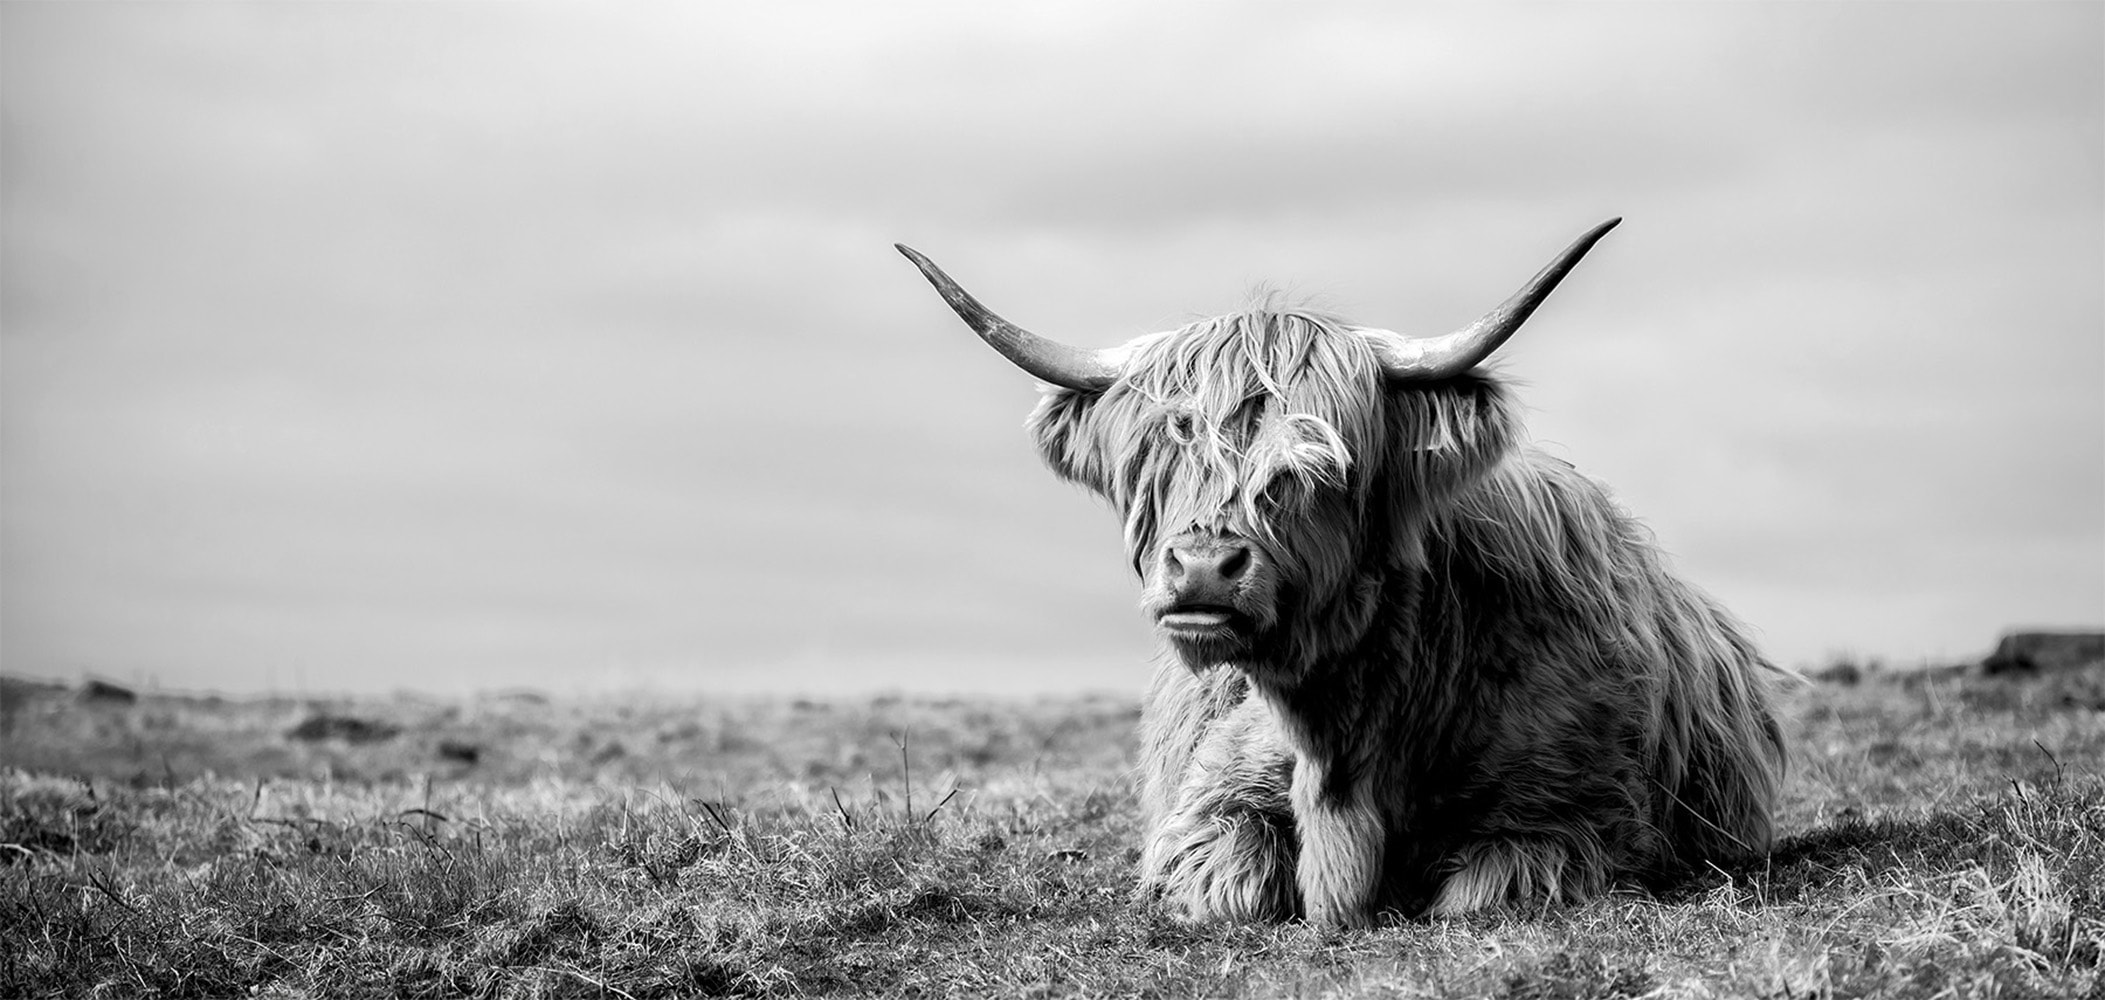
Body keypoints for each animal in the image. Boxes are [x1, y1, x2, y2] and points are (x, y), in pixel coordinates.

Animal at [897, 220, 1788, 927]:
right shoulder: (1203, 810)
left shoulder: (1573, 820)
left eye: (1314, 463)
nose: (1202, 567)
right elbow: (1237, 885)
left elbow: (1474, 893)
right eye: (1158, 450)